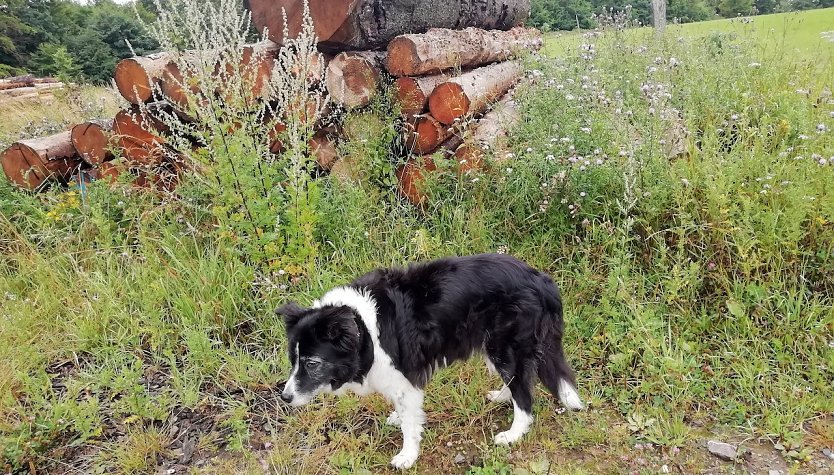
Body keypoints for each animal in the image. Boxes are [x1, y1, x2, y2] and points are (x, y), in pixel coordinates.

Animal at [276, 255, 580, 470]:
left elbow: (410, 424)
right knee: (518, 382)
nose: (285, 397)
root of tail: (541, 281)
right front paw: (397, 418)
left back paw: (512, 434)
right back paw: (502, 396)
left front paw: (407, 456)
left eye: (312, 363)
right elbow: (404, 411)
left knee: (525, 398)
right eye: (294, 360)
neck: (363, 329)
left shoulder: (404, 377)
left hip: (504, 347)